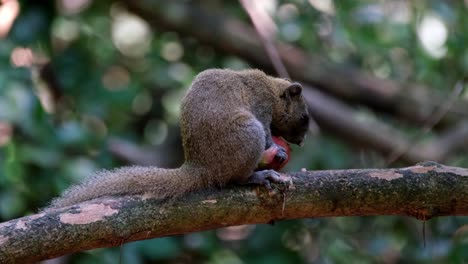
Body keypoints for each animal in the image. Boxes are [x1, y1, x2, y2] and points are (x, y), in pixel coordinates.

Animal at [46, 69, 310, 209]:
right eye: (304, 117)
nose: (301, 141)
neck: (271, 89)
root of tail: (201, 167)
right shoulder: (262, 108)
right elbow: (267, 136)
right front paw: (277, 151)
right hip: (247, 134)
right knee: (235, 178)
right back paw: (258, 175)